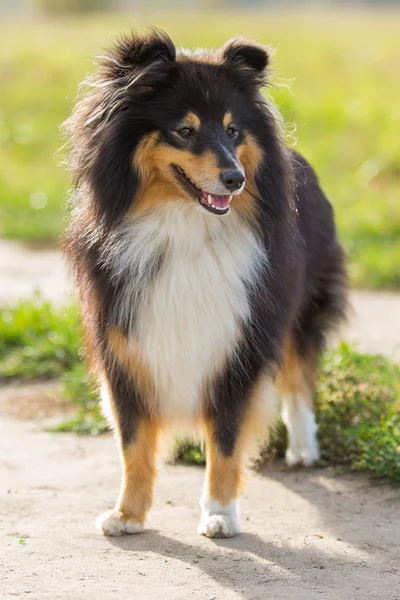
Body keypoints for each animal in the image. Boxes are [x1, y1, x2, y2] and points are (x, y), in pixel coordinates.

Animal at [63, 29, 346, 540]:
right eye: (185, 130)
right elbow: (133, 443)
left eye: (233, 131)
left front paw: (220, 513)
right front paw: (127, 514)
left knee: (298, 375)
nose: (236, 179)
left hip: (303, 307)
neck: (184, 225)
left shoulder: (239, 342)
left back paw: (303, 448)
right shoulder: (124, 344)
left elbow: (227, 437)